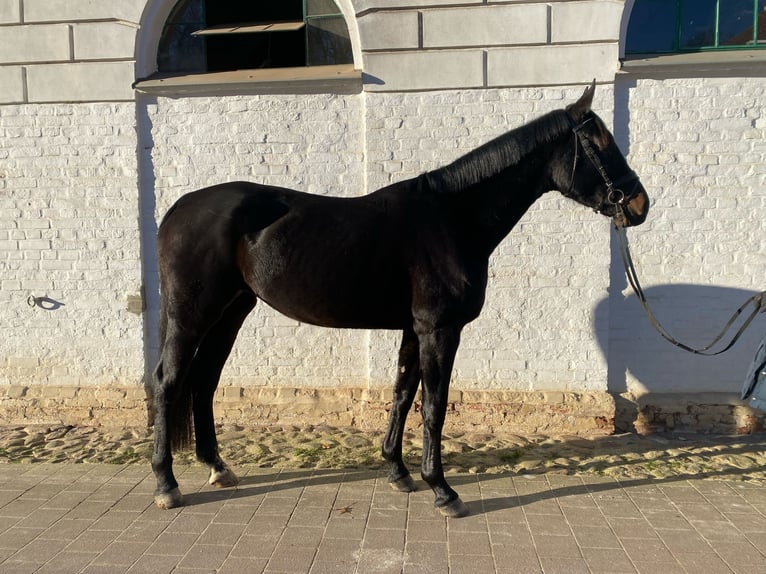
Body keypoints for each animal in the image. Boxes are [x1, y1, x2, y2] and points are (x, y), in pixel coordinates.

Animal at [148, 84, 648, 516]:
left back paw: (217, 468)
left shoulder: (413, 329)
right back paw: (166, 484)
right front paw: (443, 490)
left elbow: (403, 394)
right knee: (168, 383)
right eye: (600, 143)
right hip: (192, 315)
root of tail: (177, 210)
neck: (453, 219)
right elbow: (434, 406)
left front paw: (398, 471)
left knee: (204, 382)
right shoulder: (439, 329)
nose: (639, 204)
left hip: (231, 312)